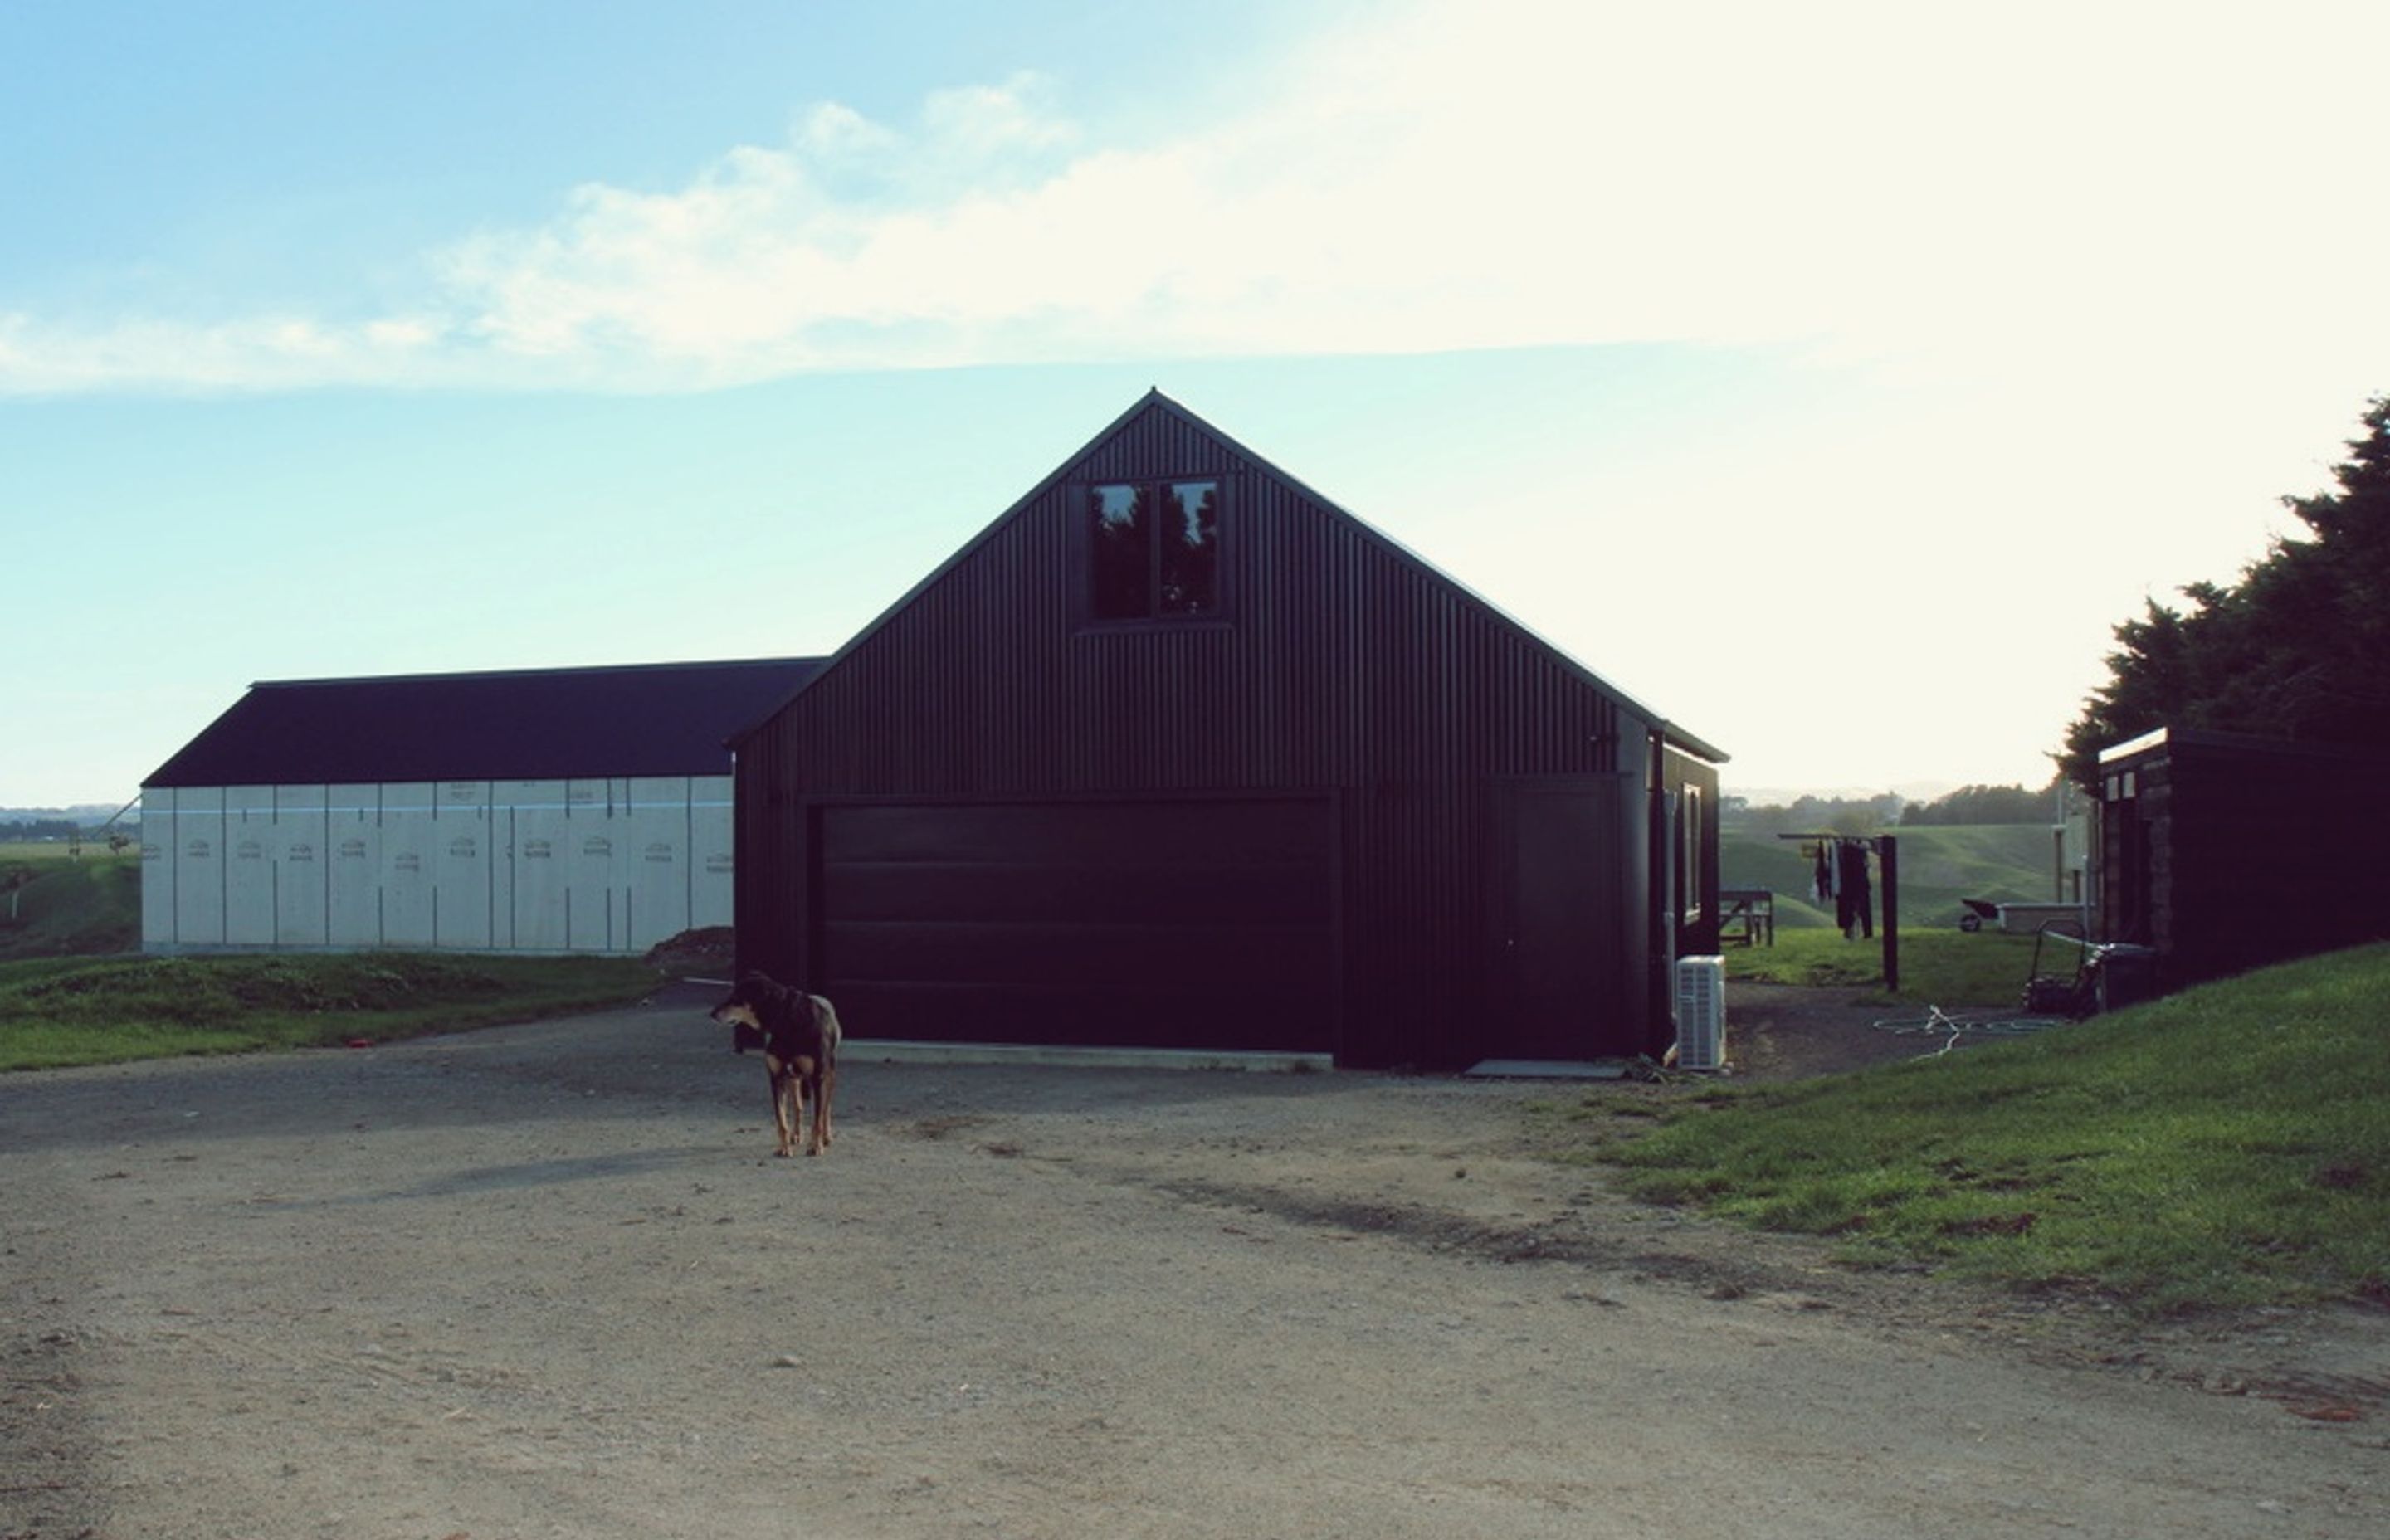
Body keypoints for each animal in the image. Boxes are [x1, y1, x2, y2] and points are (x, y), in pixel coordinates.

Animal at [707, 975, 841, 1157]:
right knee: (798, 1106)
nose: (712, 1014)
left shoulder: (817, 1077)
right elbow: (781, 1121)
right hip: (793, 1077)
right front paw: (784, 1148)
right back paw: (796, 1135)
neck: (786, 1020)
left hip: (829, 1074)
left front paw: (815, 1146)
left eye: (736, 998)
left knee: (826, 1108)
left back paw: (826, 1137)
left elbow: (817, 1119)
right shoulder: (777, 1077)